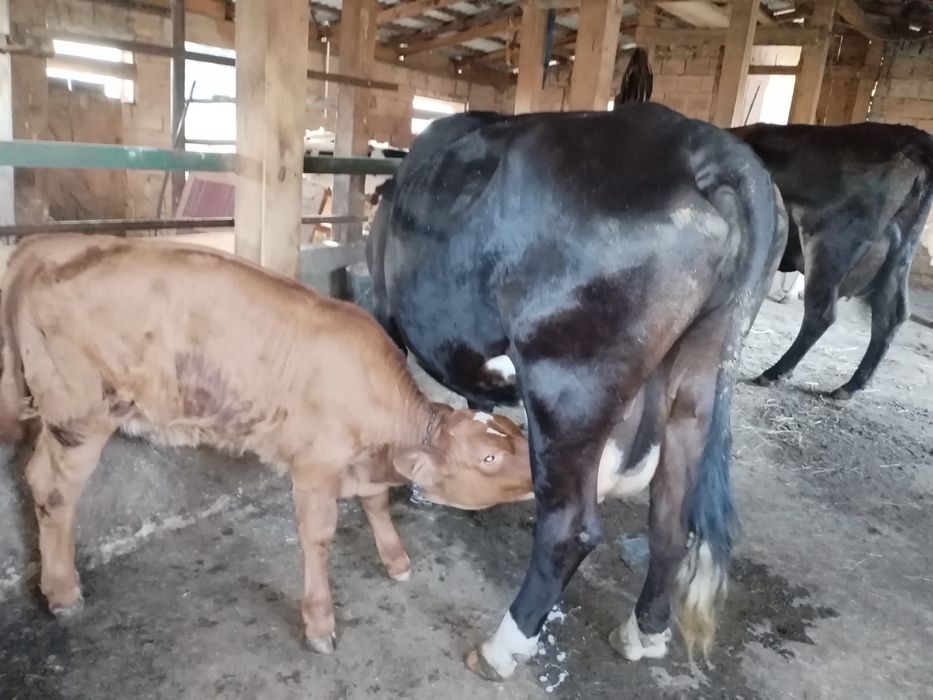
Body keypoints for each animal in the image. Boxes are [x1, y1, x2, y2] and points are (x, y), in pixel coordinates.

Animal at [0, 233, 532, 655]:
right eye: (488, 457)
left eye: (515, 434)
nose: (541, 473)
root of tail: (45, 244)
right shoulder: (316, 466)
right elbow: (319, 536)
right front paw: (319, 621)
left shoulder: (361, 462)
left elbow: (377, 502)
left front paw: (396, 561)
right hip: (78, 413)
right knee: (52, 489)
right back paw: (63, 591)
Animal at [368, 103, 786, 680]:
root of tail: (711, 149)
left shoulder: (385, 311)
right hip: (700, 376)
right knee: (671, 514)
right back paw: (643, 633)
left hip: (567, 383)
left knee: (570, 528)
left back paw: (501, 647)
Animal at [731, 122, 933, 399]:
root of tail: (917, 140)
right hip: (899, 256)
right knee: (891, 315)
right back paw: (850, 387)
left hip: (829, 246)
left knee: (822, 314)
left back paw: (774, 373)